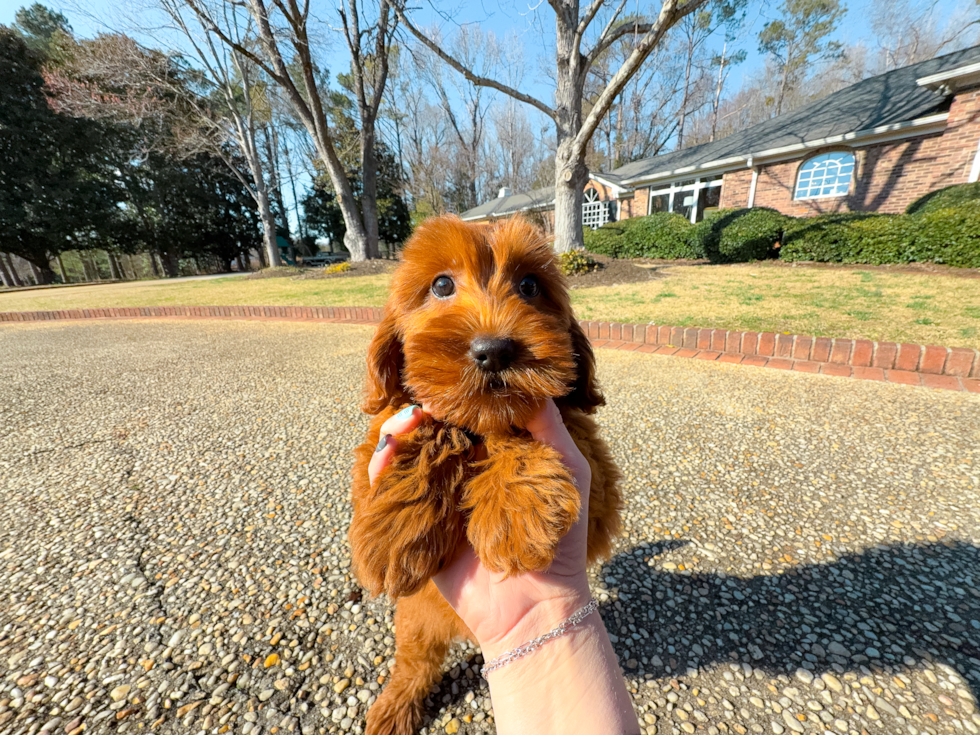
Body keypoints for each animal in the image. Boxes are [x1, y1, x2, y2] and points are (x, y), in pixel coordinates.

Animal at [350, 216, 620, 732]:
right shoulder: (378, 441)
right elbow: (428, 427)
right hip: (414, 621)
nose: (494, 350)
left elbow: (516, 427)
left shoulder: (595, 477)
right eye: (441, 285)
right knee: (414, 662)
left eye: (530, 286)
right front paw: (392, 532)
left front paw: (515, 514)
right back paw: (395, 706)